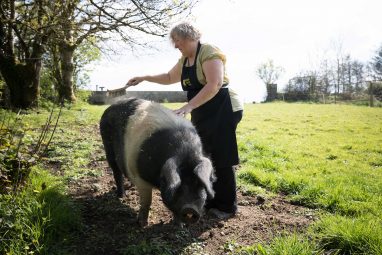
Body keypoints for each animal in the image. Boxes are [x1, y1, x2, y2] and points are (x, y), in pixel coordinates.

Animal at [99, 98, 215, 227]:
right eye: (178, 183)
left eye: (198, 183)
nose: (190, 208)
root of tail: (110, 106)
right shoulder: (140, 178)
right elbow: (147, 201)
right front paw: (142, 224)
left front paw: (180, 226)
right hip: (108, 147)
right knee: (116, 172)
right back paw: (121, 197)